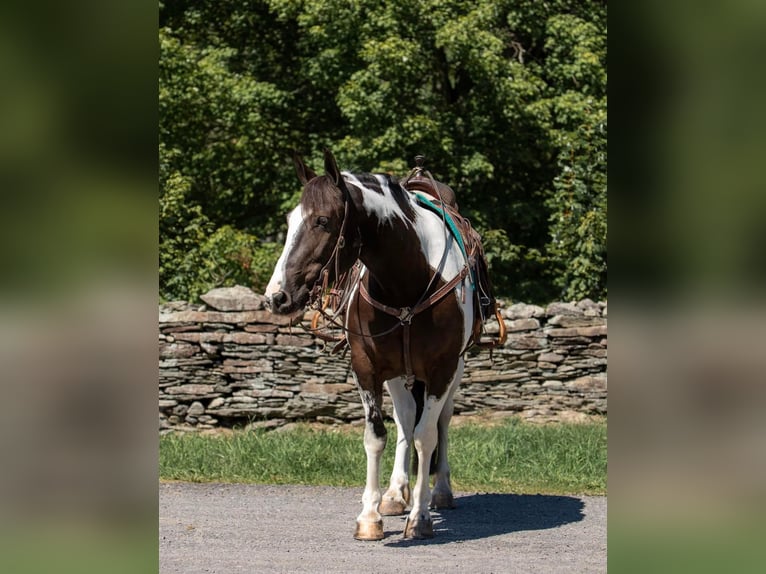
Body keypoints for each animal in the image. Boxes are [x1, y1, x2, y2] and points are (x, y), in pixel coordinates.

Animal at [264, 151, 480, 544]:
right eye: (289, 221)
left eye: (322, 220)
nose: (277, 296)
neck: (408, 282)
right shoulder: (366, 368)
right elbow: (377, 436)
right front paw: (370, 516)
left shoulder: (442, 369)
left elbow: (426, 436)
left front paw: (421, 517)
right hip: (397, 375)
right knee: (406, 417)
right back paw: (395, 494)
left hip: (454, 370)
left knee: (440, 421)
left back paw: (440, 490)